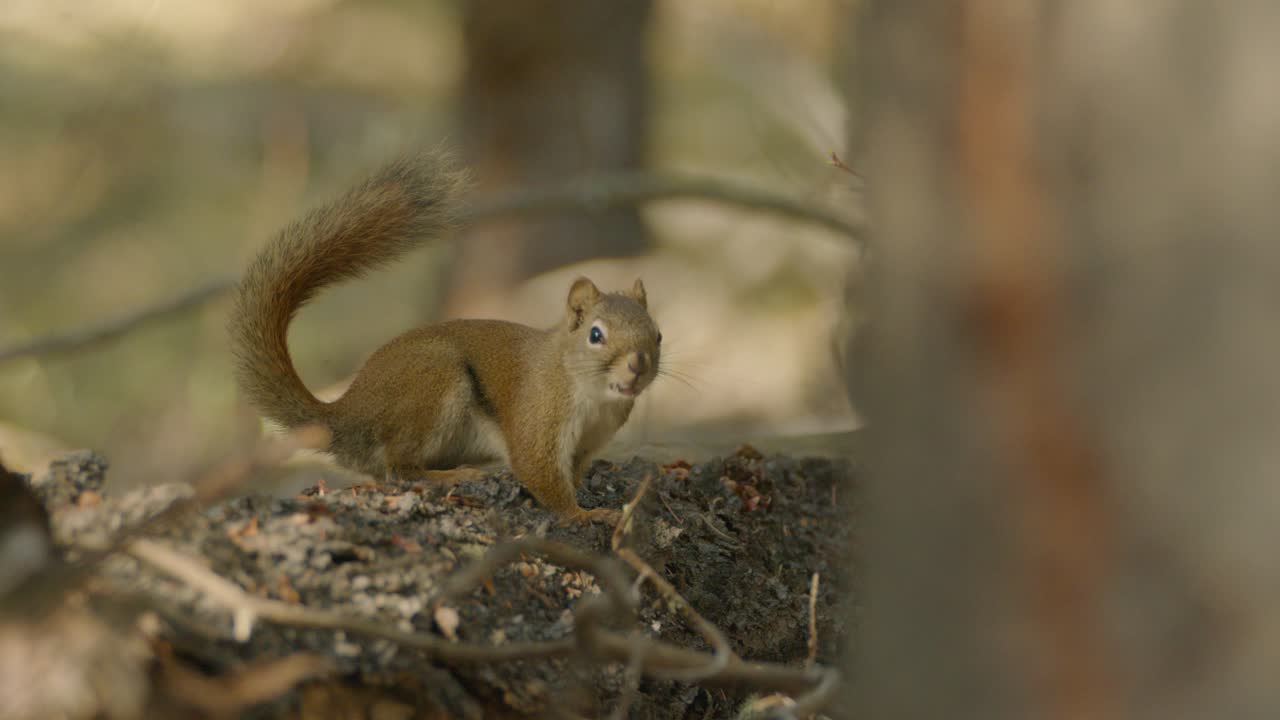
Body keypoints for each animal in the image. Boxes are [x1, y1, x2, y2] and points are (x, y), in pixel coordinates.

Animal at [227, 151, 662, 523]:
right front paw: (585, 515)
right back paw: (452, 476)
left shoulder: (590, 442)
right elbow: (542, 476)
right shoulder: (538, 418)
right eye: (595, 334)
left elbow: (573, 474)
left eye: (657, 334)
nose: (638, 365)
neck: (592, 395)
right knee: (398, 468)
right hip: (435, 381)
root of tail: (347, 415)